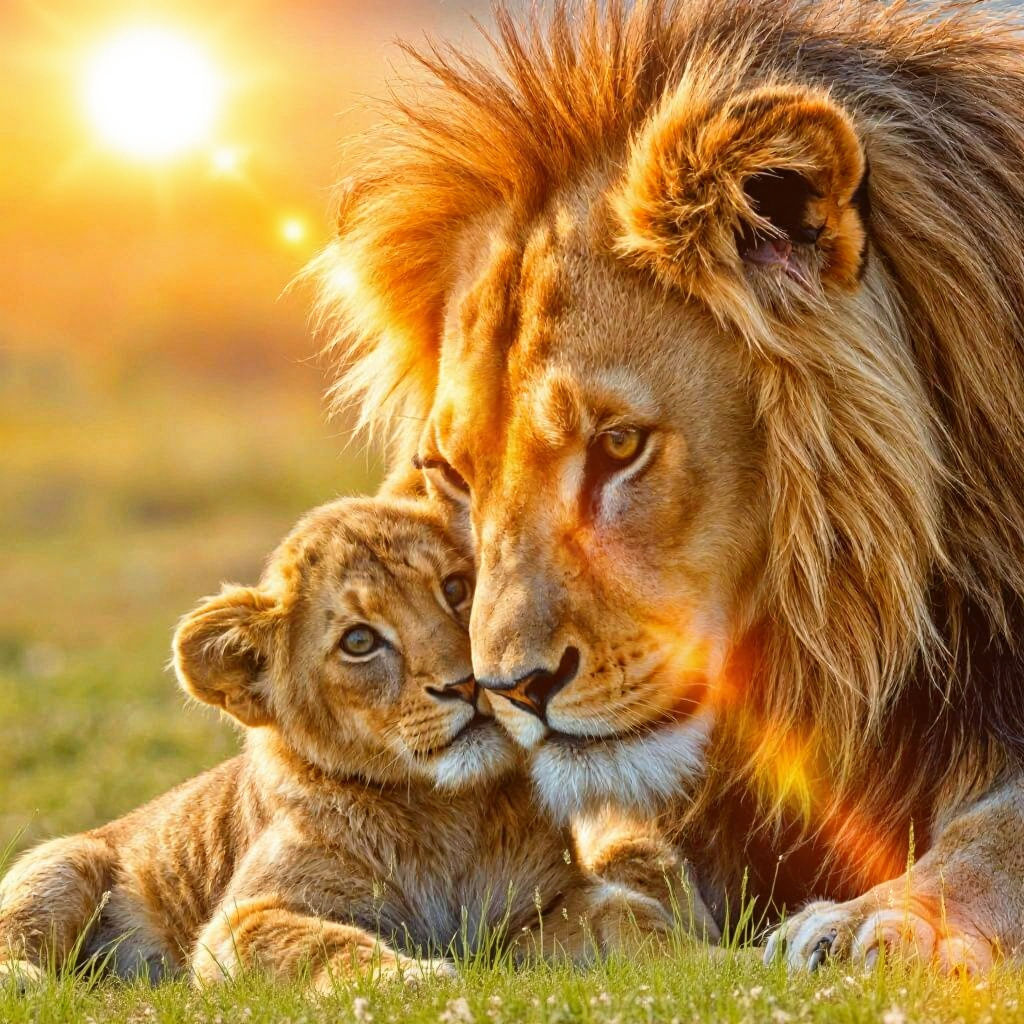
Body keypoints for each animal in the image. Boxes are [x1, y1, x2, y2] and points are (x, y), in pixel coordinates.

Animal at [0, 495, 710, 991]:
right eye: (360, 642)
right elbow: (326, 945)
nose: (467, 685)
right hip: (65, 863)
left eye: (456, 589)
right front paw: (414, 982)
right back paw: (25, 982)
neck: (442, 815)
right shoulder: (242, 922)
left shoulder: (533, 912)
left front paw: (711, 961)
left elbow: (631, 915)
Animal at [317, 0, 1024, 973]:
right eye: (456, 476)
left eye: (618, 445)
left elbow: (998, 831)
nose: (511, 693)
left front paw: (881, 921)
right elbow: (625, 845)